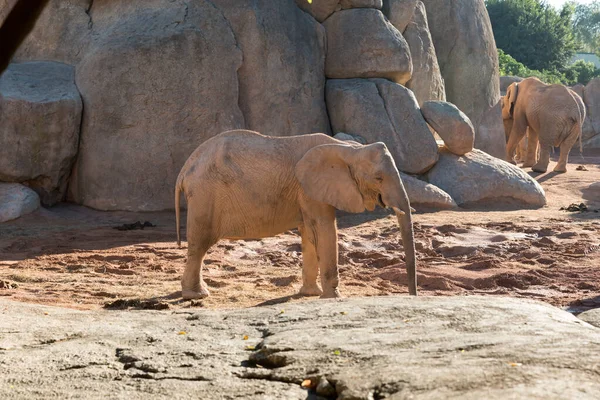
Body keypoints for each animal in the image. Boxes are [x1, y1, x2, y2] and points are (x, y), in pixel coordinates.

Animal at [173, 130, 418, 300]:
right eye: (379, 178)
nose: (412, 296)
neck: (349, 148)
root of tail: (185, 168)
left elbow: (309, 233)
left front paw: (311, 294)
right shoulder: (309, 188)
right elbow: (325, 228)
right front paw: (333, 298)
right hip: (205, 195)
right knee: (200, 244)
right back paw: (197, 295)